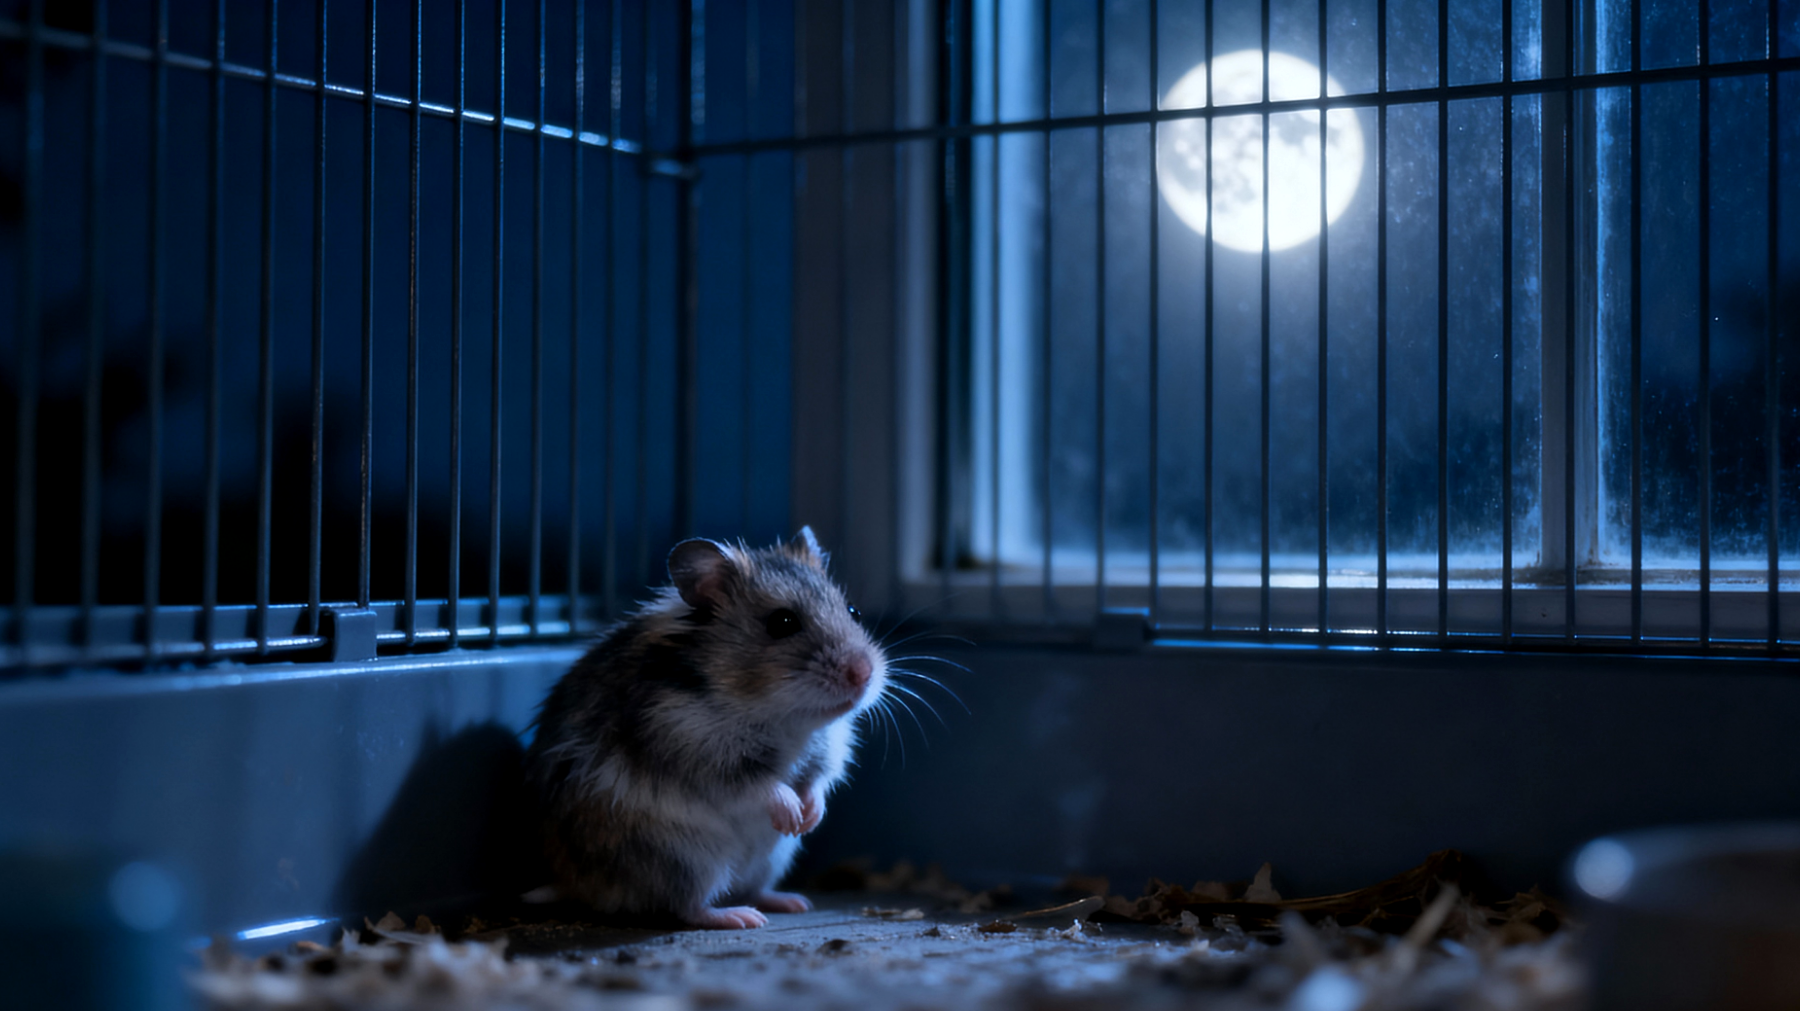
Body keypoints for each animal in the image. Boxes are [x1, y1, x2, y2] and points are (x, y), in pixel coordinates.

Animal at [525, 526, 888, 930]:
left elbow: (817, 781)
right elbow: (761, 786)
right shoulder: (701, 752)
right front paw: (792, 815)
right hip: (686, 857)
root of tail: (576, 886)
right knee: (686, 907)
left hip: (769, 859)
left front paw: (807, 820)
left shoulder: (827, 749)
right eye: (782, 623)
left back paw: (792, 902)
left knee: (750, 888)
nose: (863, 674)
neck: (784, 716)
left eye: (853, 611)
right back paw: (741, 918)